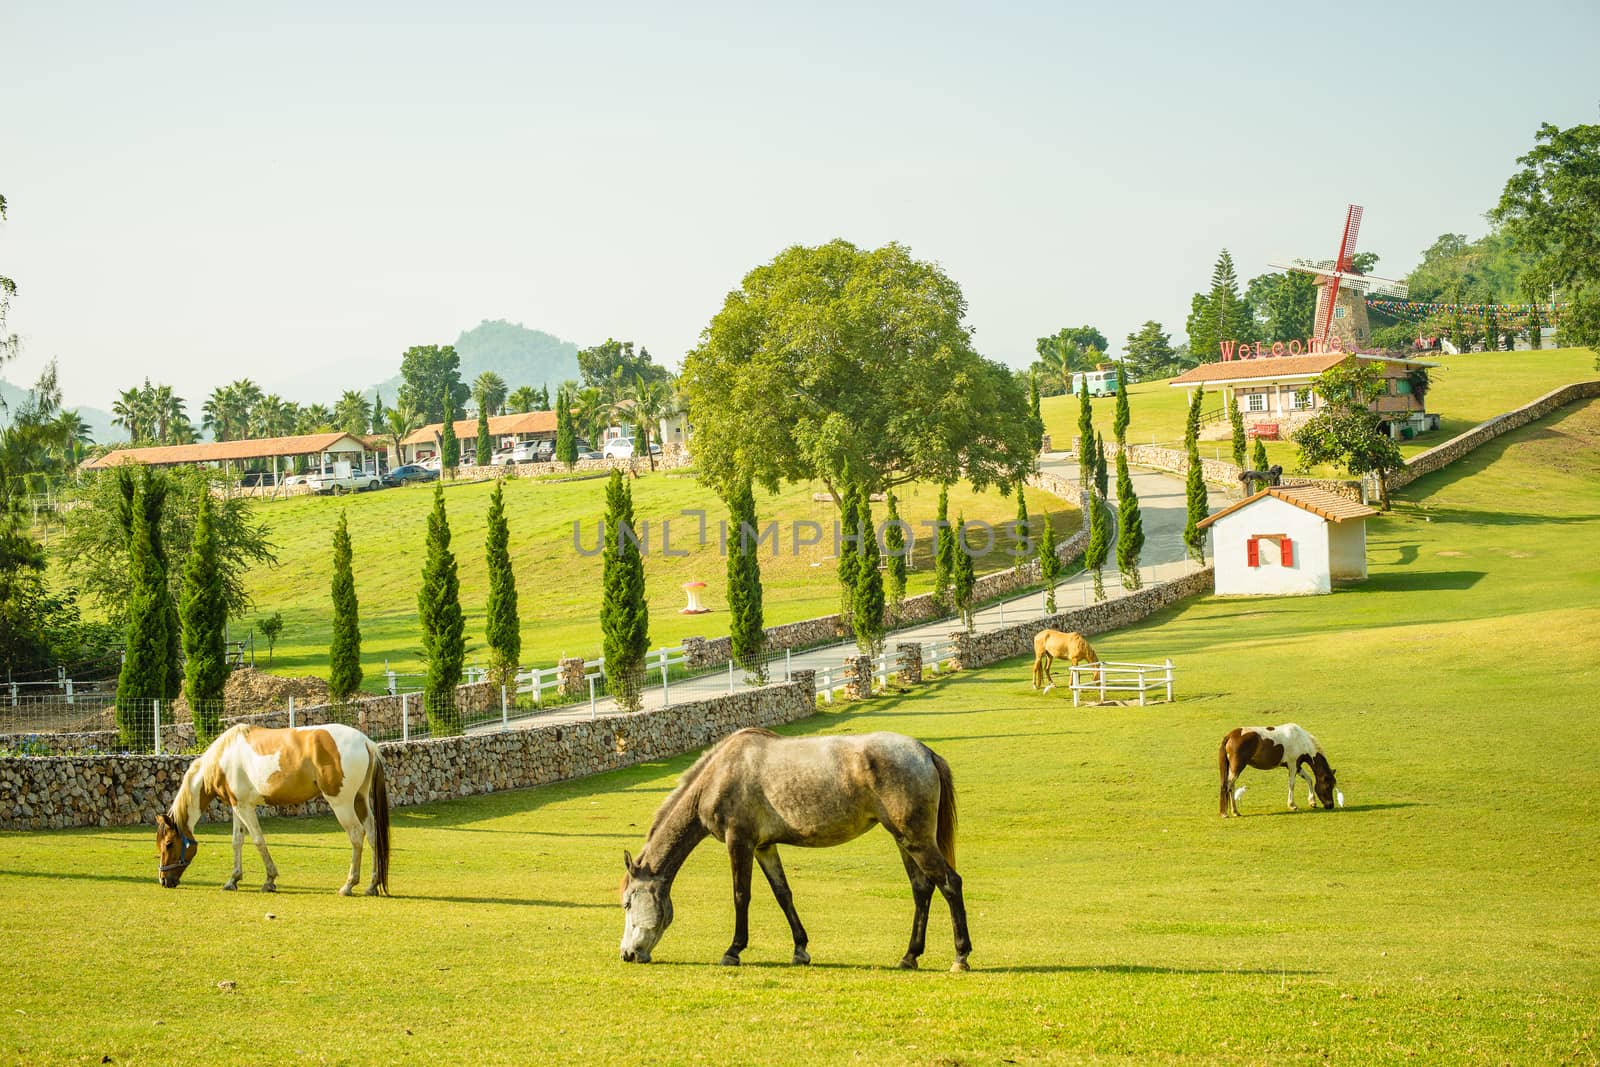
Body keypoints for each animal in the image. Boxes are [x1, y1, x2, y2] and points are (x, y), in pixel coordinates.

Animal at [155, 726, 390, 895]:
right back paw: (372, 885)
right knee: (372, 834)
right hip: (360, 800)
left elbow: (258, 840)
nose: (164, 880)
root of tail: (365, 742)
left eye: (169, 844)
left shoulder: (245, 808)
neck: (223, 758)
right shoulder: (236, 807)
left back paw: (348, 885)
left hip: (342, 804)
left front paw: (269, 880)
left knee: (356, 835)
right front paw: (233, 880)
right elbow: (237, 841)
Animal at [614, 729, 966, 972]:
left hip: (915, 840)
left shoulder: (739, 842)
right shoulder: (764, 847)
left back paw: (960, 957)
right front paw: (800, 950)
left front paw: (733, 951)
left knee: (950, 883)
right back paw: (909, 956)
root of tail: (925, 753)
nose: (627, 954)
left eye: (628, 903)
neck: (720, 775)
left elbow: (741, 895)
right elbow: (783, 894)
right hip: (904, 841)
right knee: (922, 889)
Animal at [1216, 726, 1344, 819]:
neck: (1300, 740)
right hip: (1237, 768)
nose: (1330, 805)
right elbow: (1291, 784)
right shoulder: (1292, 765)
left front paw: (1312, 802)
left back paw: (1235, 811)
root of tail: (1230, 736)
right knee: (1227, 786)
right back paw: (1225, 813)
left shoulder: (1297, 766)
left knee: (1231, 787)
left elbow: (1309, 779)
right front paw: (1292, 805)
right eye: (1328, 787)